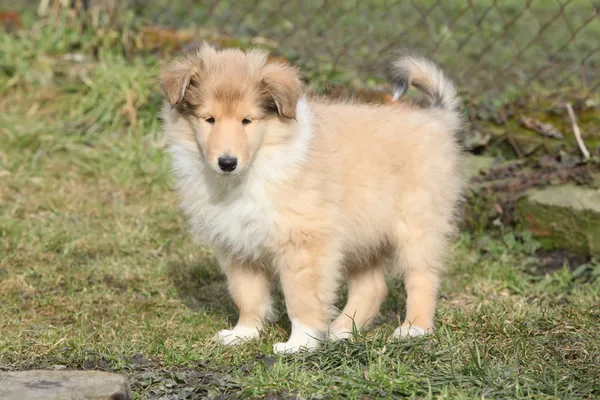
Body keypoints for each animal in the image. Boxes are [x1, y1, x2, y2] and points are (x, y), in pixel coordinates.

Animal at [159, 44, 464, 354]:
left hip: (417, 224)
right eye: (209, 119)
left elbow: (301, 298)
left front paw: (300, 343)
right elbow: (247, 294)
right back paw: (340, 331)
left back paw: (414, 328)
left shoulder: (304, 242)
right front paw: (243, 333)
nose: (227, 162)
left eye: (247, 121)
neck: (254, 168)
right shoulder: (236, 244)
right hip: (361, 233)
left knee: (422, 277)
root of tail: (436, 119)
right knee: (373, 287)